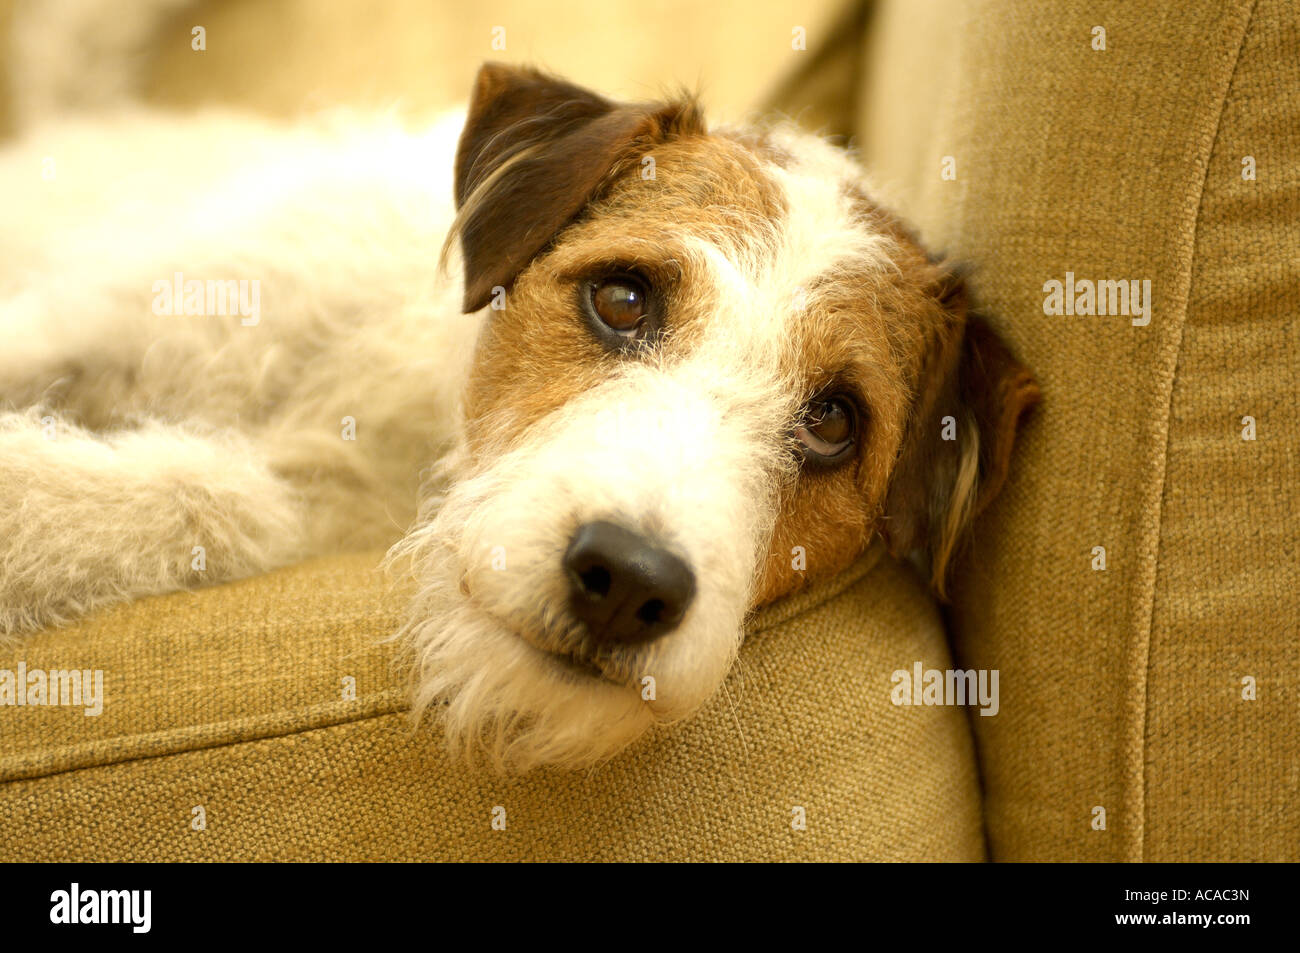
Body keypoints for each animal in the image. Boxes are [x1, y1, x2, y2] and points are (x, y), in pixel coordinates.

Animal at [0, 63, 1040, 769]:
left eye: (832, 421)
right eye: (621, 298)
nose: (626, 582)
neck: (412, 412)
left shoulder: (300, 503)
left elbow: (212, 495)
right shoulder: (87, 317)